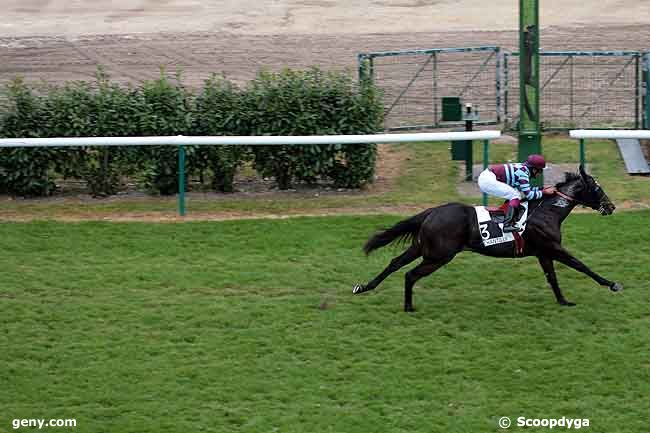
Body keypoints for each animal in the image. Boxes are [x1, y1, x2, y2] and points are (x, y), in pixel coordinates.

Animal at [352, 164, 620, 308]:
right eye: (597, 188)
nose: (611, 206)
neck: (548, 211)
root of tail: (433, 211)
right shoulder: (552, 248)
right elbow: (581, 265)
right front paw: (612, 284)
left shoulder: (543, 253)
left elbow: (552, 278)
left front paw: (563, 301)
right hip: (439, 255)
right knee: (410, 274)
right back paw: (408, 306)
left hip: (423, 248)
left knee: (395, 264)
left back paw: (364, 287)